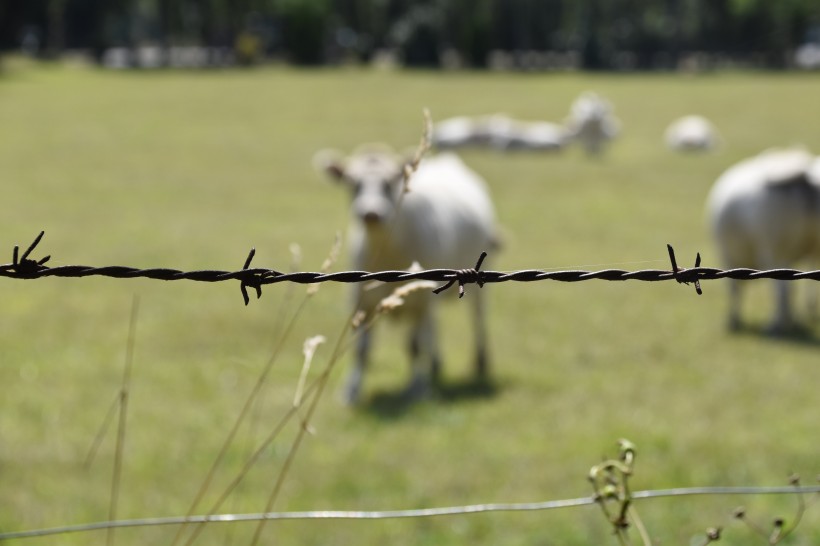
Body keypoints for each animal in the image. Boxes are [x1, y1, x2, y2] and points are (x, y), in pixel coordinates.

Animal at [314, 147, 500, 402]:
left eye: (389, 182)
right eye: (353, 183)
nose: (370, 213)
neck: (388, 252)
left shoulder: (419, 302)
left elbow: (414, 346)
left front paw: (416, 388)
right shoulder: (361, 300)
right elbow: (362, 350)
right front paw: (352, 389)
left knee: (477, 318)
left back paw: (480, 362)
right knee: (433, 326)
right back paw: (436, 364)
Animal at [704, 146, 820, 332]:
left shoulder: (726, 255)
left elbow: (733, 288)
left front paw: (734, 319)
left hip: (775, 250)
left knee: (782, 290)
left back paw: (775, 325)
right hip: (805, 251)